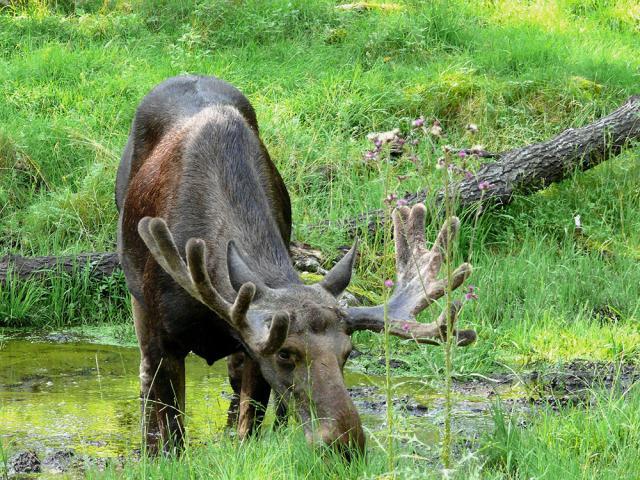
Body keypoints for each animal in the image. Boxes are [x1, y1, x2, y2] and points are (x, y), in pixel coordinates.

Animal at [115, 74, 478, 454]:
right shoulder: (165, 339)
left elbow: (249, 427)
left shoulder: (251, 348)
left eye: (347, 352)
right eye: (286, 353)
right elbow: (169, 433)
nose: (345, 441)